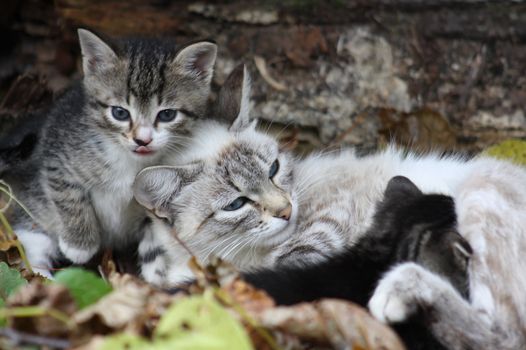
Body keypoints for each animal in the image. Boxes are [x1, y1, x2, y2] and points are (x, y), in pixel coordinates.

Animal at [11, 29, 220, 276]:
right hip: (34, 211)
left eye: (167, 115)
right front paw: (79, 245)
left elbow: (155, 244)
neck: (131, 163)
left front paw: (154, 277)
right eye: (120, 113)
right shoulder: (57, 157)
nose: (142, 140)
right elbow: (68, 195)